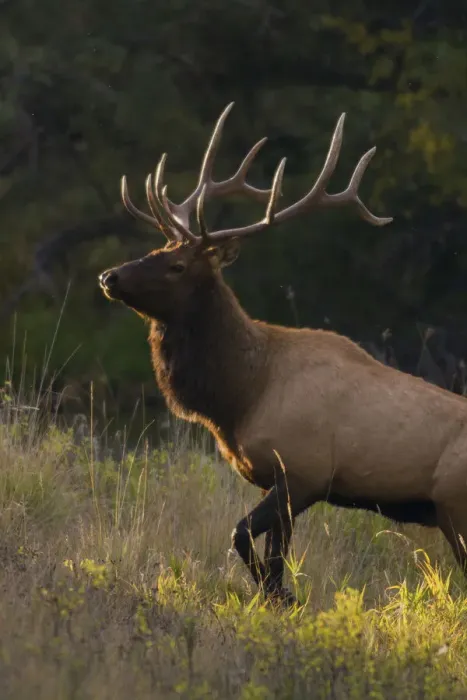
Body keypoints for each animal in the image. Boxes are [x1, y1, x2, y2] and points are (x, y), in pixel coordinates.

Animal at [99, 103, 467, 605]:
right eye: (157, 247)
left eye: (177, 265)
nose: (110, 276)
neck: (241, 395)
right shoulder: (283, 481)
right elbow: (273, 560)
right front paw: (280, 600)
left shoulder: (304, 471)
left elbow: (241, 538)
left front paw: (285, 598)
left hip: (454, 504)